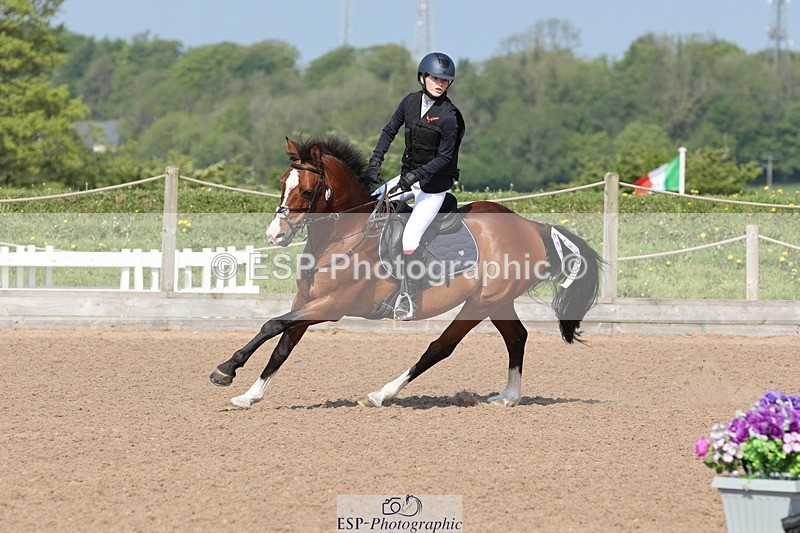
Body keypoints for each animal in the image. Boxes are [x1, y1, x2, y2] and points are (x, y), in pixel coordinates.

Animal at [210, 136, 603, 409]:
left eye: (307, 190)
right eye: (282, 183)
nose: (274, 236)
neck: (342, 236)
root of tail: (532, 226)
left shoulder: (331, 306)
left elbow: (272, 325)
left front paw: (226, 369)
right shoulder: (308, 301)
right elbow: (282, 345)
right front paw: (249, 395)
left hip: (478, 304)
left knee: (440, 347)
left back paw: (380, 394)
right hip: (497, 302)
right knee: (517, 337)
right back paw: (508, 397)